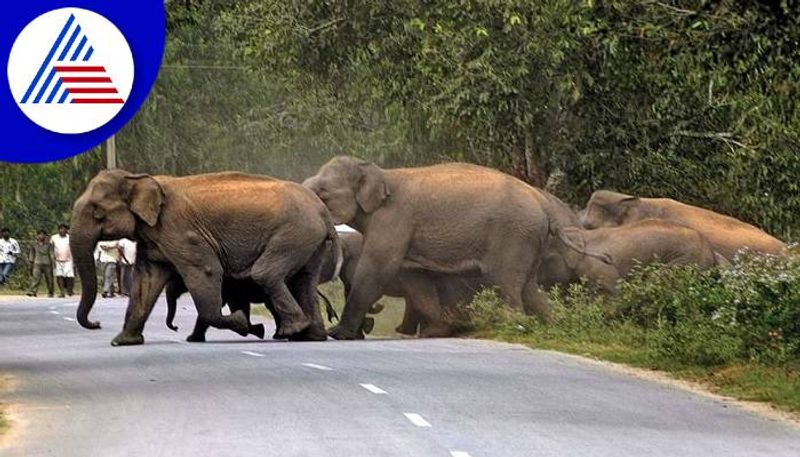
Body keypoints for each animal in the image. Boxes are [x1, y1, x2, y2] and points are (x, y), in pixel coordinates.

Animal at [71, 169, 340, 344]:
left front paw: (243, 323)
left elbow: (207, 270)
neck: (138, 178)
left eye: (97, 213)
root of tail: (323, 211)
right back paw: (310, 337)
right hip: (309, 239)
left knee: (266, 273)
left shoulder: (182, 231)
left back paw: (290, 332)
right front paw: (123, 342)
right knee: (305, 280)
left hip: (295, 232)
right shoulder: (152, 236)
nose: (97, 324)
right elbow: (146, 281)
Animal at [304, 157, 552, 338]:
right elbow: (414, 278)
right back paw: (549, 324)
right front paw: (437, 330)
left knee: (506, 282)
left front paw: (337, 334)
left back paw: (513, 326)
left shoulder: (393, 219)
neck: (380, 174)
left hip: (512, 235)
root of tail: (543, 205)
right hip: (527, 240)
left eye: (323, 191)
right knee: (529, 288)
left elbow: (377, 268)